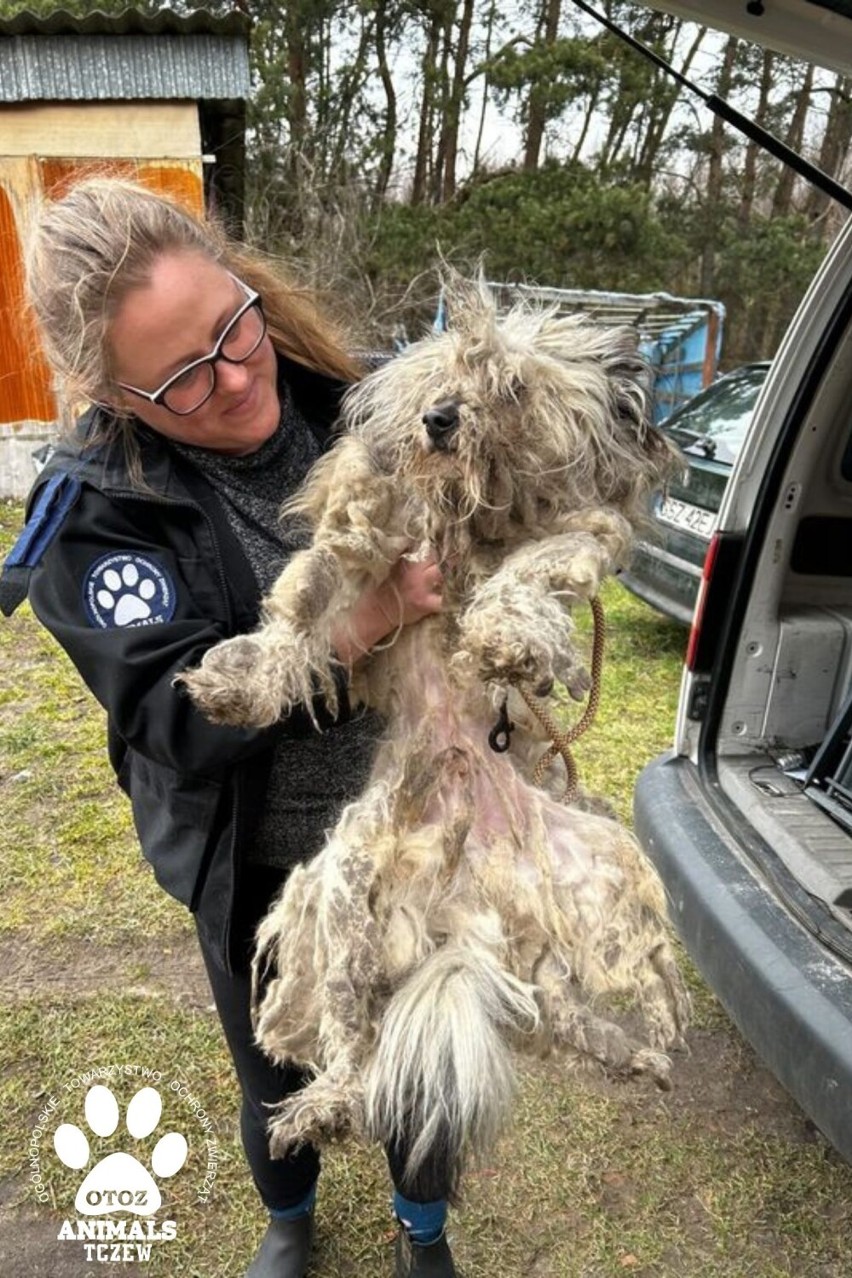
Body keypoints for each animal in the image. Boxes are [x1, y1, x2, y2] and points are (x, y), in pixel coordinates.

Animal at [183, 272, 689, 1196]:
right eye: (446, 371)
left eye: (513, 387)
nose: (441, 420)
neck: (473, 523)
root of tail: (460, 904)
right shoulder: (370, 543)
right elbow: (304, 606)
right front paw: (243, 680)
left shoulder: (579, 533)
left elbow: (536, 568)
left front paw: (504, 637)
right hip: (344, 893)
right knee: (355, 1035)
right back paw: (324, 1105)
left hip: (600, 868)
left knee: (581, 1001)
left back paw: (645, 1043)